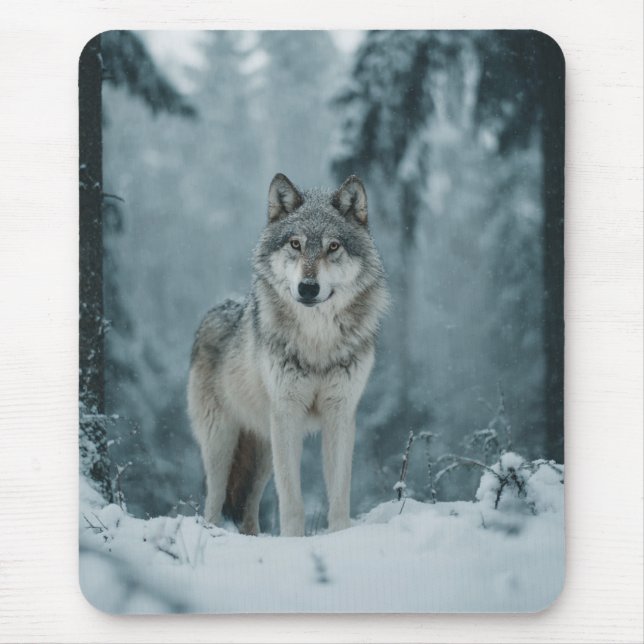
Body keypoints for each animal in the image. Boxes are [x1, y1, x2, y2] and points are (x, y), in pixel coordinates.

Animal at [187, 173, 388, 537]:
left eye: (333, 246)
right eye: (295, 244)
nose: (308, 288)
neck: (317, 341)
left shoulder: (340, 414)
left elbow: (339, 492)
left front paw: (340, 535)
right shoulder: (287, 414)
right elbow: (292, 499)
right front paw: (293, 540)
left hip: (263, 451)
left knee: (248, 508)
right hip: (223, 442)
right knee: (213, 501)